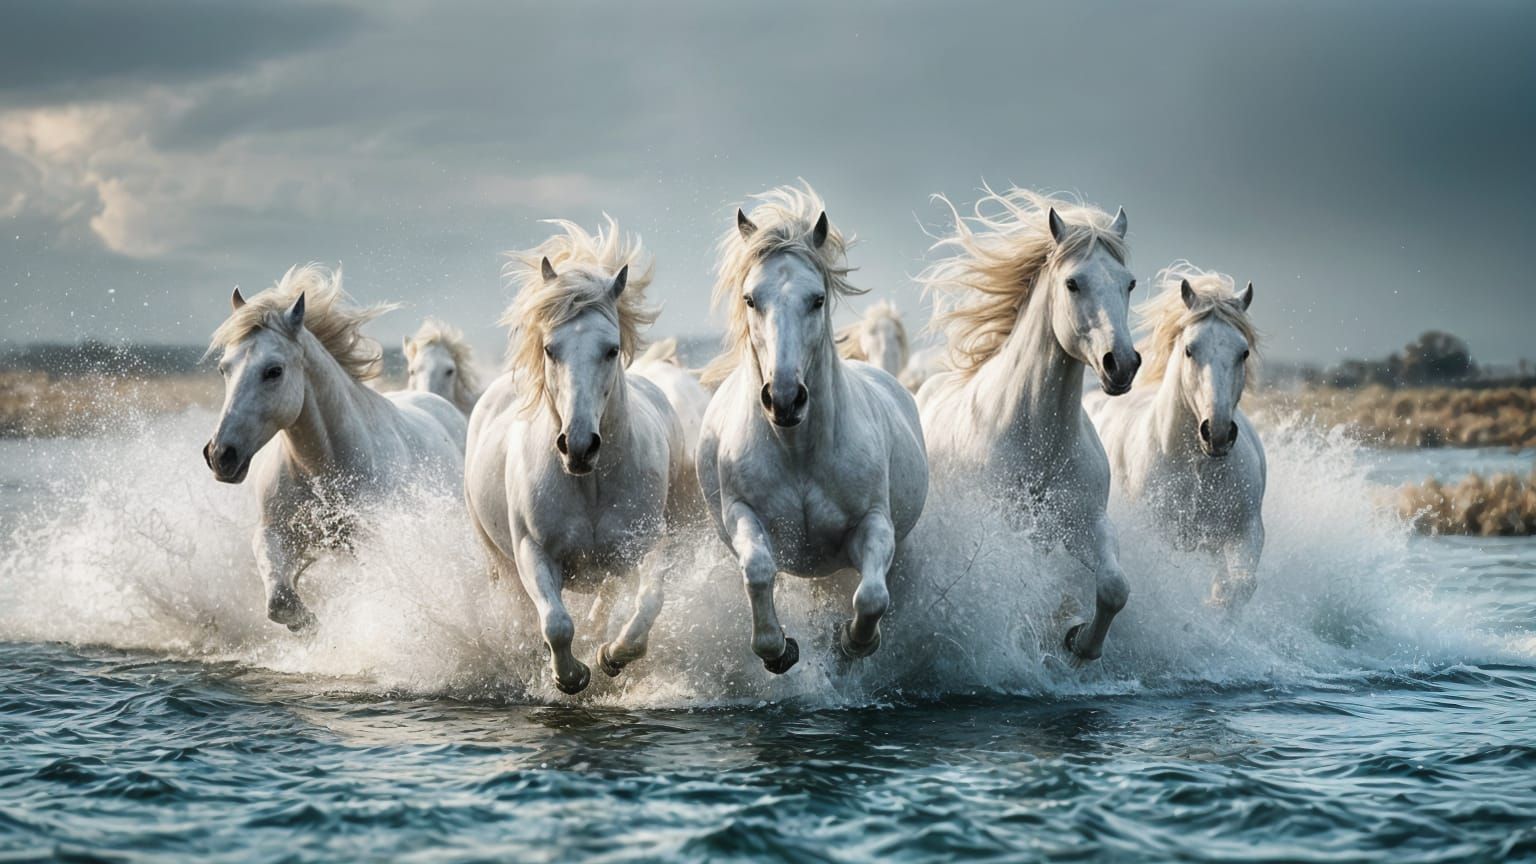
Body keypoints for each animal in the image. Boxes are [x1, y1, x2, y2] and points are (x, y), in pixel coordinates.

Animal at [202, 264, 467, 631]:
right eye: (223, 368)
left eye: (273, 371)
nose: (220, 455)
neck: (322, 468)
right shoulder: (273, 534)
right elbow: (279, 601)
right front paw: (308, 624)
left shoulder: (371, 546)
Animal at [464, 217, 694, 695]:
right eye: (550, 348)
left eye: (611, 349)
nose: (580, 445)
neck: (589, 484)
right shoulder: (533, 553)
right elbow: (555, 623)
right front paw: (570, 677)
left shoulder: (646, 544)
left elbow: (648, 601)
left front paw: (611, 656)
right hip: (499, 562)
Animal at [697, 182, 929, 674]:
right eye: (750, 299)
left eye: (817, 298)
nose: (785, 398)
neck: (797, 451)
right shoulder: (742, 513)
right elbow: (758, 571)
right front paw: (778, 649)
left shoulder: (874, 523)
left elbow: (873, 595)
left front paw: (852, 643)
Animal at [915, 187, 1139, 663]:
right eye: (1073, 283)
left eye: (1128, 283)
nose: (1122, 364)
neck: (1040, 442)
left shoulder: (1085, 524)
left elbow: (1114, 587)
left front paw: (1079, 641)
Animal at [1086, 262, 1265, 609]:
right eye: (1189, 350)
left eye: (1244, 352)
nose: (1217, 432)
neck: (1195, 468)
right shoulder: (1164, 540)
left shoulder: (1246, 532)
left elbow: (1239, 586)